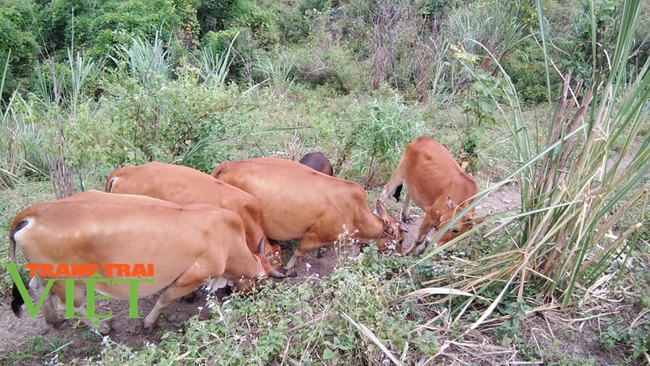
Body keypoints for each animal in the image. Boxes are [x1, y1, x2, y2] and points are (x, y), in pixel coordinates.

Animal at [8, 190, 284, 334]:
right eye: (262, 283)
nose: (253, 296)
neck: (229, 241)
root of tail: (34, 212)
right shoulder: (191, 276)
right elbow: (164, 299)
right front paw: (149, 324)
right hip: (69, 281)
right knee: (70, 306)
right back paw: (103, 327)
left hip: (46, 273)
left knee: (35, 287)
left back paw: (54, 320)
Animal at [211, 157, 404, 268]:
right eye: (400, 240)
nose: (402, 256)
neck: (356, 214)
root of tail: (228, 165)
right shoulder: (314, 236)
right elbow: (298, 252)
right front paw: (288, 268)